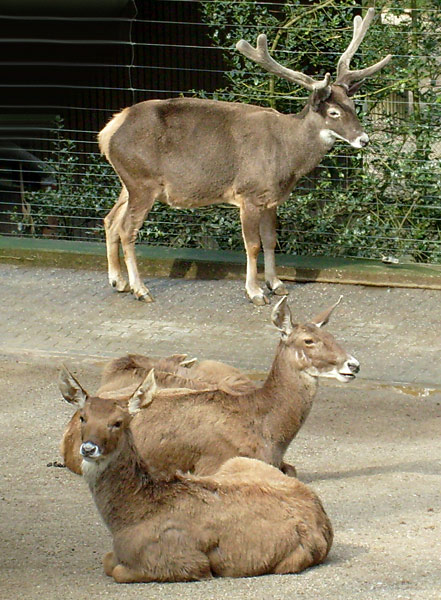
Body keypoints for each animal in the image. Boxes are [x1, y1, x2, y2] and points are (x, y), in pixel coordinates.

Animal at [61, 380, 330, 580]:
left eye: (117, 422)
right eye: (83, 417)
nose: (89, 448)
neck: (128, 518)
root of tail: (324, 519)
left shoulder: (181, 561)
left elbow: (116, 569)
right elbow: (107, 560)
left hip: (291, 560)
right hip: (238, 462)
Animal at [99, 5, 388, 304]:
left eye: (352, 104)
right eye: (333, 112)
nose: (364, 139)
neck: (287, 155)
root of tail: (108, 132)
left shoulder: (271, 199)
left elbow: (271, 240)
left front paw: (276, 283)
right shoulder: (248, 193)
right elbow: (252, 245)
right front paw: (255, 292)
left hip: (128, 182)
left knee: (110, 220)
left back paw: (118, 281)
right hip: (141, 180)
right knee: (127, 228)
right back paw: (141, 289)